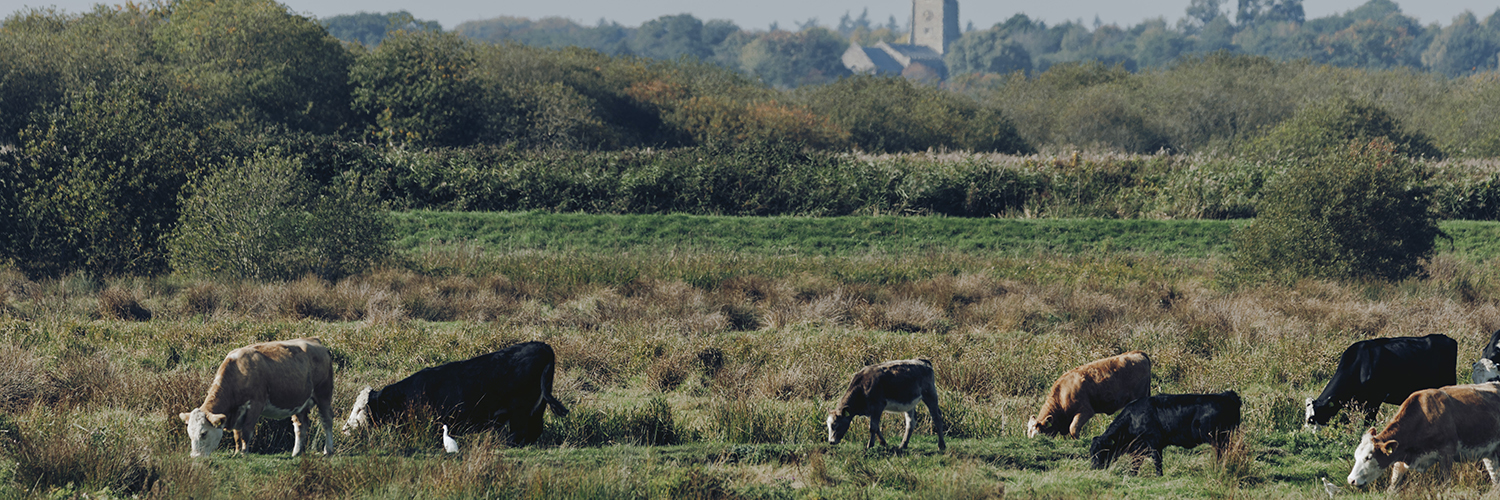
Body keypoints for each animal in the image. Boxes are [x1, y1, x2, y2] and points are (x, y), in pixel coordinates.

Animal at [178, 337, 335, 458]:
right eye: (190, 434)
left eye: (204, 433)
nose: (195, 456)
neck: (237, 372)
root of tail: (314, 340)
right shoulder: (237, 412)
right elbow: (237, 435)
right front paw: (237, 452)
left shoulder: (255, 405)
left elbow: (246, 432)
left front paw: (244, 454)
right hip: (299, 401)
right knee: (300, 426)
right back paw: (296, 452)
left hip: (324, 394)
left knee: (327, 421)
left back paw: (328, 450)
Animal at [342, 341, 569, 446]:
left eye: (359, 410)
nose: (345, 429)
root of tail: (542, 346)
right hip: (536, 407)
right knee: (533, 430)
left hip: (520, 408)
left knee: (519, 431)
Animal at [1089, 391, 1242, 476]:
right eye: (1091, 452)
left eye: (1101, 452)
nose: (1093, 468)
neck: (1132, 418)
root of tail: (1226, 395)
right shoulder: (1139, 447)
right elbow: (1136, 463)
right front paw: (1132, 475)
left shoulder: (1154, 442)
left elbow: (1157, 461)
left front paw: (1159, 476)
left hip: (1219, 439)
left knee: (1221, 455)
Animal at [1347, 383, 1500, 491]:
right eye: (1356, 456)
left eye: (1368, 457)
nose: (1351, 480)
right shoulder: (1400, 458)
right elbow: (1393, 485)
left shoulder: (1446, 454)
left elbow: (1446, 484)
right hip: (1490, 453)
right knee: (1495, 477)